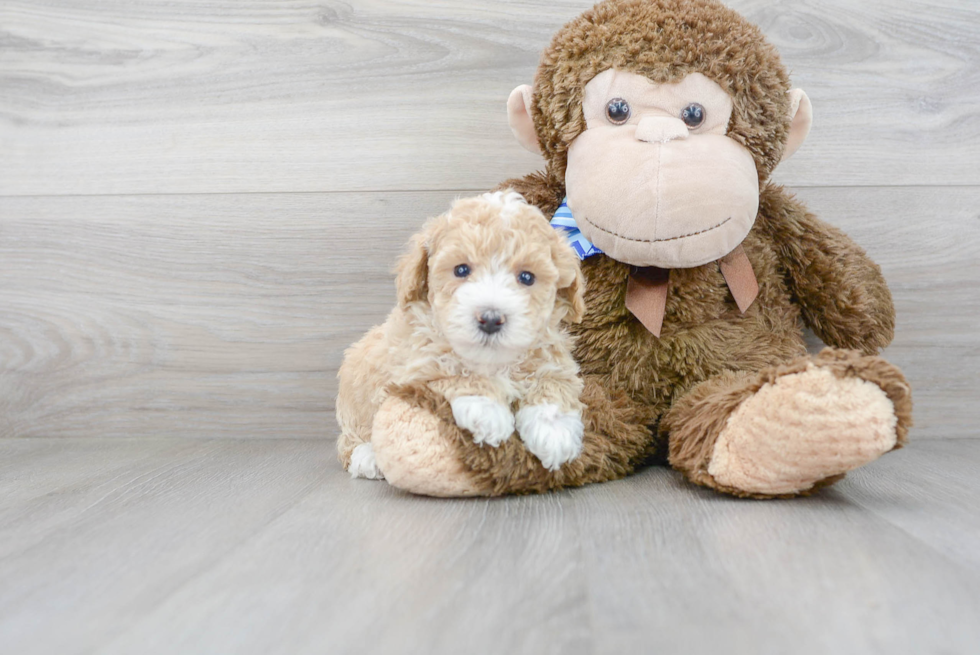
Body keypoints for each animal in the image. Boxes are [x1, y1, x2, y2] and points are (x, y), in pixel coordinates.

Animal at [336, 192, 584, 480]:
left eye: (526, 277)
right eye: (461, 270)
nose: (490, 318)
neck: (493, 361)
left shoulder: (550, 354)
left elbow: (553, 382)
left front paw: (554, 429)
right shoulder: (414, 365)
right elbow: (452, 371)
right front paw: (487, 409)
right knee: (349, 441)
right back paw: (367, 457)